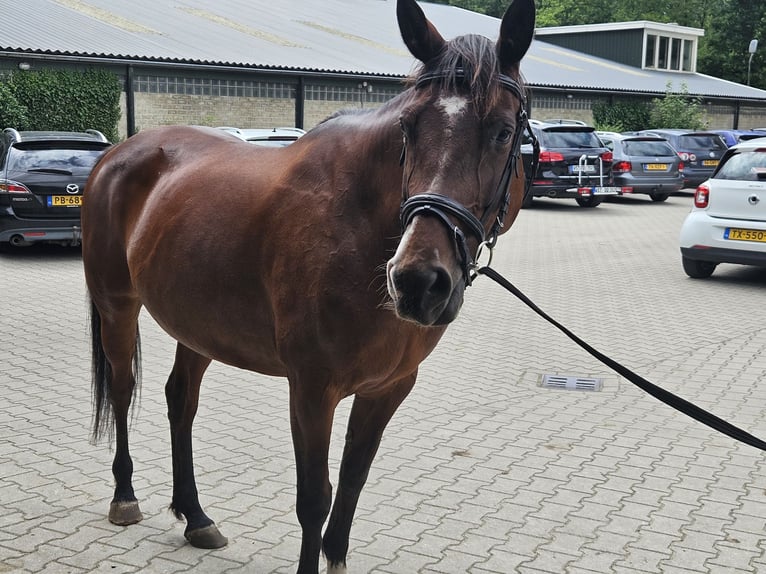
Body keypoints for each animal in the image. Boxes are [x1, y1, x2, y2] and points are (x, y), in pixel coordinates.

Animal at [81, 0, 535, 572]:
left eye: (503, 131)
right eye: (408, 128)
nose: (417, 281)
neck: (357, 224)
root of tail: (116, 154)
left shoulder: (388, 388)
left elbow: (353, 483)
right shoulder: (313, 389)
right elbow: (314, 498)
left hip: (199, 327)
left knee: (180, 401)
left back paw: (196, 517)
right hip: (117, 307)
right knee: (123, 390)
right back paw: (125, 497)